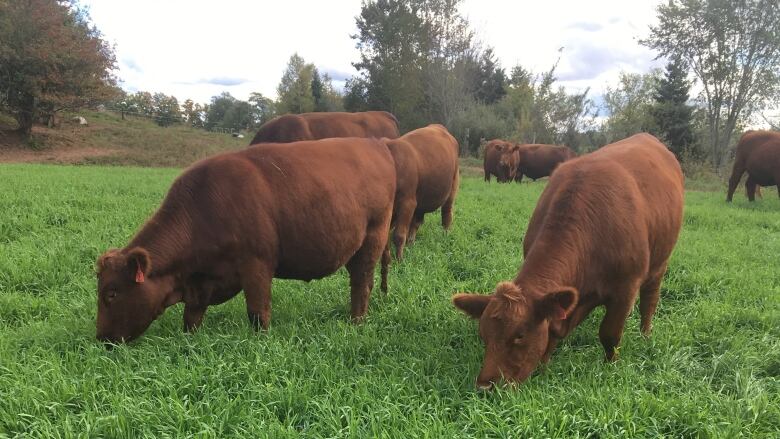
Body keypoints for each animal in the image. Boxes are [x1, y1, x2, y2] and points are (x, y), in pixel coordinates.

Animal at [95, 138, 396, 344]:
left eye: (111, 293)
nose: (101, 339)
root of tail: (374, 143)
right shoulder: (201, 283)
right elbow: (191, 317)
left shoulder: (257, 265)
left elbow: (257, 312)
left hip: (373, 238)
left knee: (361, 285)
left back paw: (356, 324)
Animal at [382, 124, 458, 262]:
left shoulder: (408, 203)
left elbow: (399, 235)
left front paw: (399, 260)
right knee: (416, 223)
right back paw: (411, 244)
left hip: (452, 188)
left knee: (447, 215)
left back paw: (446, 236)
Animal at [450, 133, 684, 388]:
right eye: (483, 334)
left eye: (519, 336)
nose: (484, 385)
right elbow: (552, 328)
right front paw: (544, 365)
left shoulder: (625, 289)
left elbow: (609, 334)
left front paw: (610, 366)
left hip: (660, 264)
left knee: (649, 300)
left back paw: (645, 334)